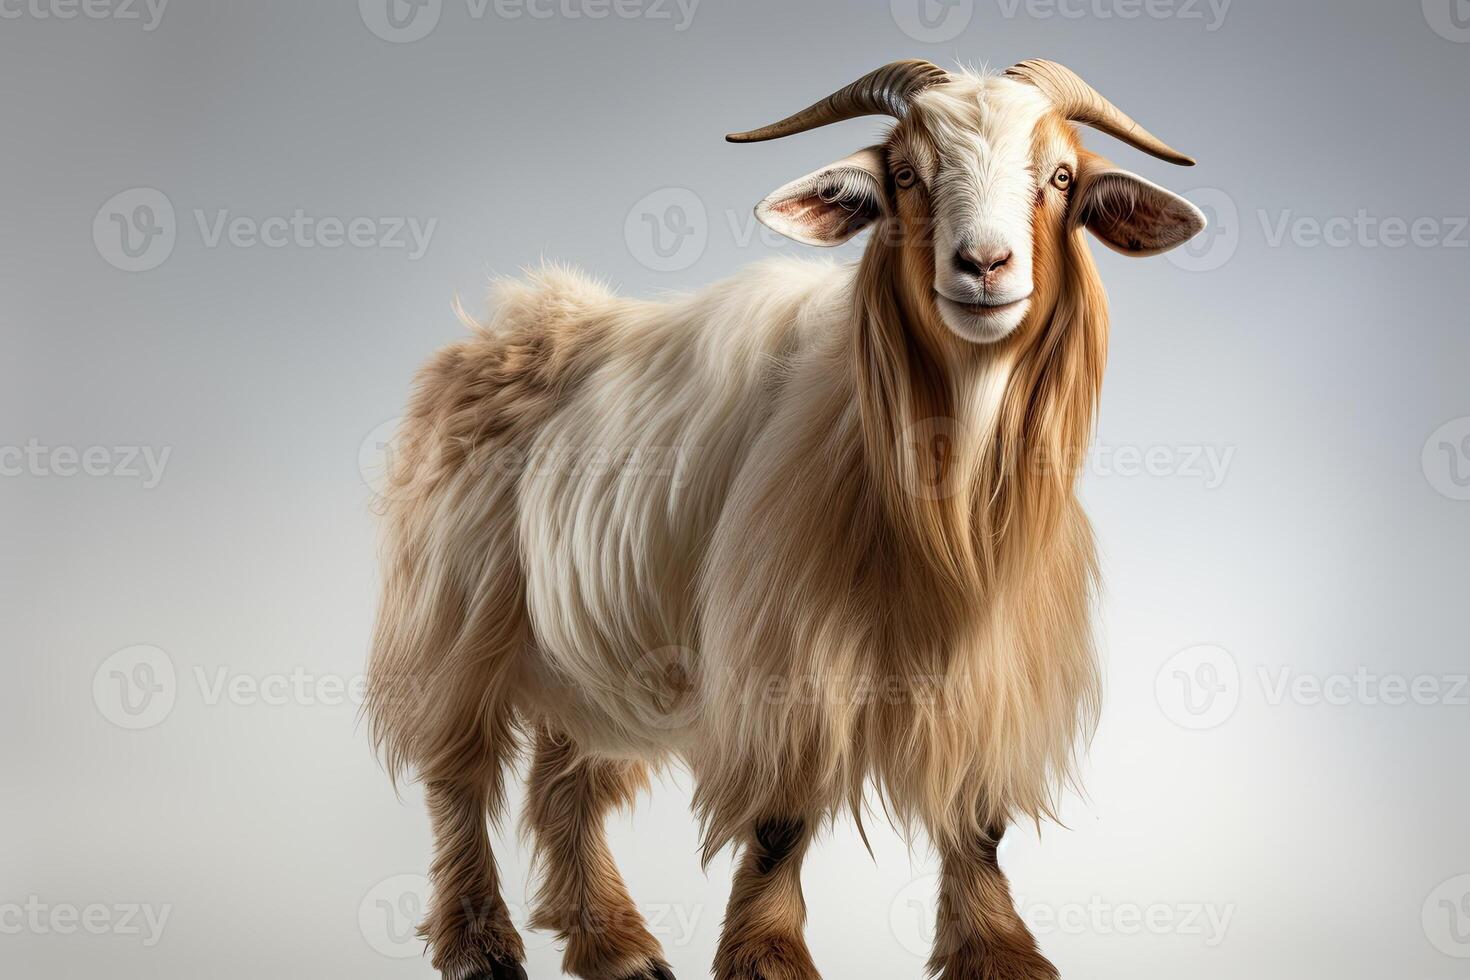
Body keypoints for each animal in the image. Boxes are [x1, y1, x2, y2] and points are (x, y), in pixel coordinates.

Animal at [364, 59, 1205, 980]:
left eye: (1059, 178)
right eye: (904, 174)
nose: (985, 265)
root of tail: (506, 325)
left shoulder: (996, 666)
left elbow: (978, 817)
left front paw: (998, 951)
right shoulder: (784, 654)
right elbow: (779, 819)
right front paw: (767, 955)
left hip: (596, 646)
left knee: (565, 782)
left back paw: (614, 943)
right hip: (459, 610)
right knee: (460, 773)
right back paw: (479, 941)